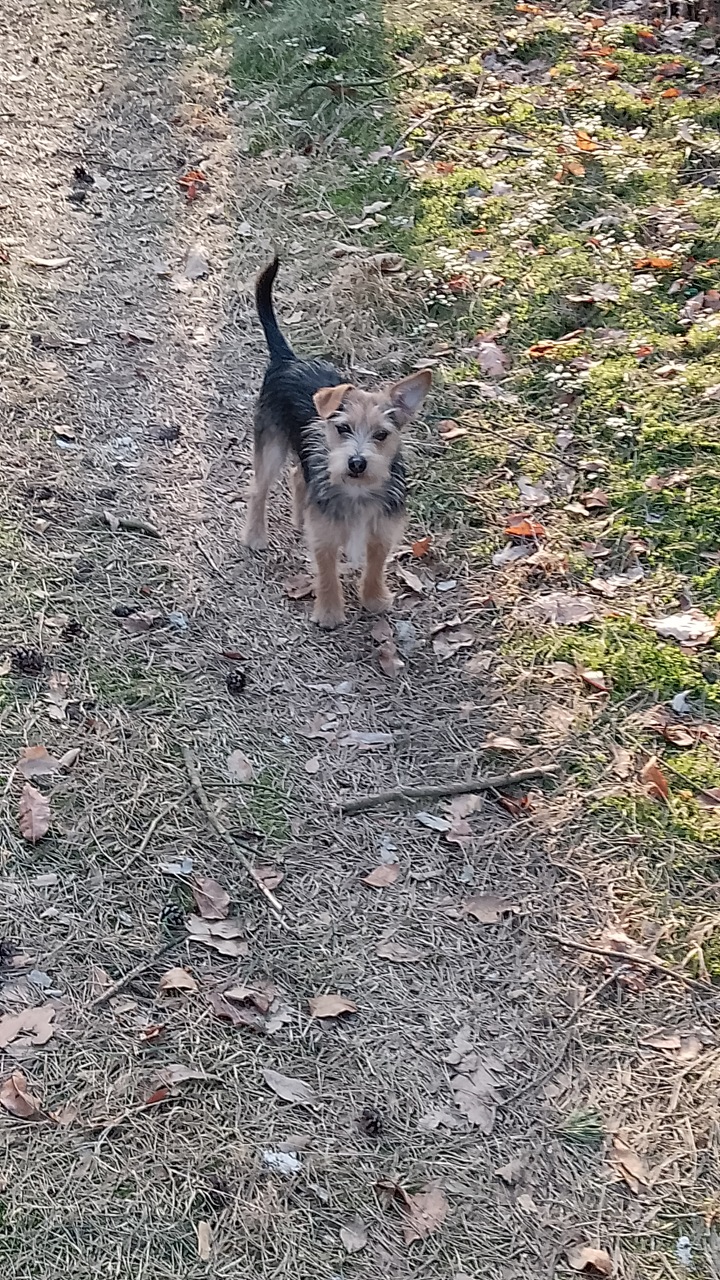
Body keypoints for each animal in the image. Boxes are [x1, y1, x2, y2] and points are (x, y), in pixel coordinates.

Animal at [243, 256, 431, 629]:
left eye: (381, 435)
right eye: (343, 428)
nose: (356, 463)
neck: (358, 490)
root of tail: (289, 360)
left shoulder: (381, 533)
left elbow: (375, 567)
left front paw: (374, 600)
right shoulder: (325, 536)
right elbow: (327, 572)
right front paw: (329, 612)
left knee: (298, 475)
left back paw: (299, 516)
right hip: (270, 446)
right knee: (259, 488)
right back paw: (255, 535)